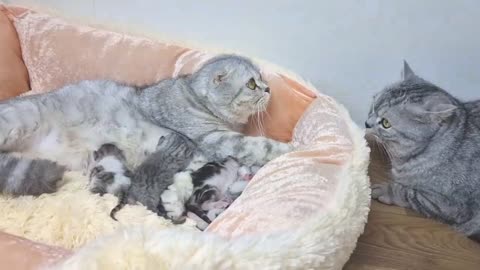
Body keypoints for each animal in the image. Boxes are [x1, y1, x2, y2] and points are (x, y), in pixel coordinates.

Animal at [0, 54, 290, 197]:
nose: (268, 88)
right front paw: (290, 148)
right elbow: (261, 146)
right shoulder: (216, 139)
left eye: (262, 79)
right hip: (16, 121)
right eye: (252, 84)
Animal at [368, 61, 480, 240]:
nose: (366, 123)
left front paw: (386, 190)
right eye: (373, 105)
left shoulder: (449, 205)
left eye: (385, 123)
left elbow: (408, 193)